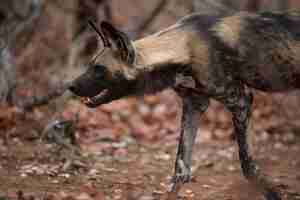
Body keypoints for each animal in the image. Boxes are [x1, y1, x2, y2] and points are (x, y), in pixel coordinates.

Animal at [68, 10, 300, 200]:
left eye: (99, 69)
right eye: (90, 65)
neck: (183, 48)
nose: (70, 85)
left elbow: (248, 166)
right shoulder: (194, 105)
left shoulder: (241, 101)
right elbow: (181, 169)